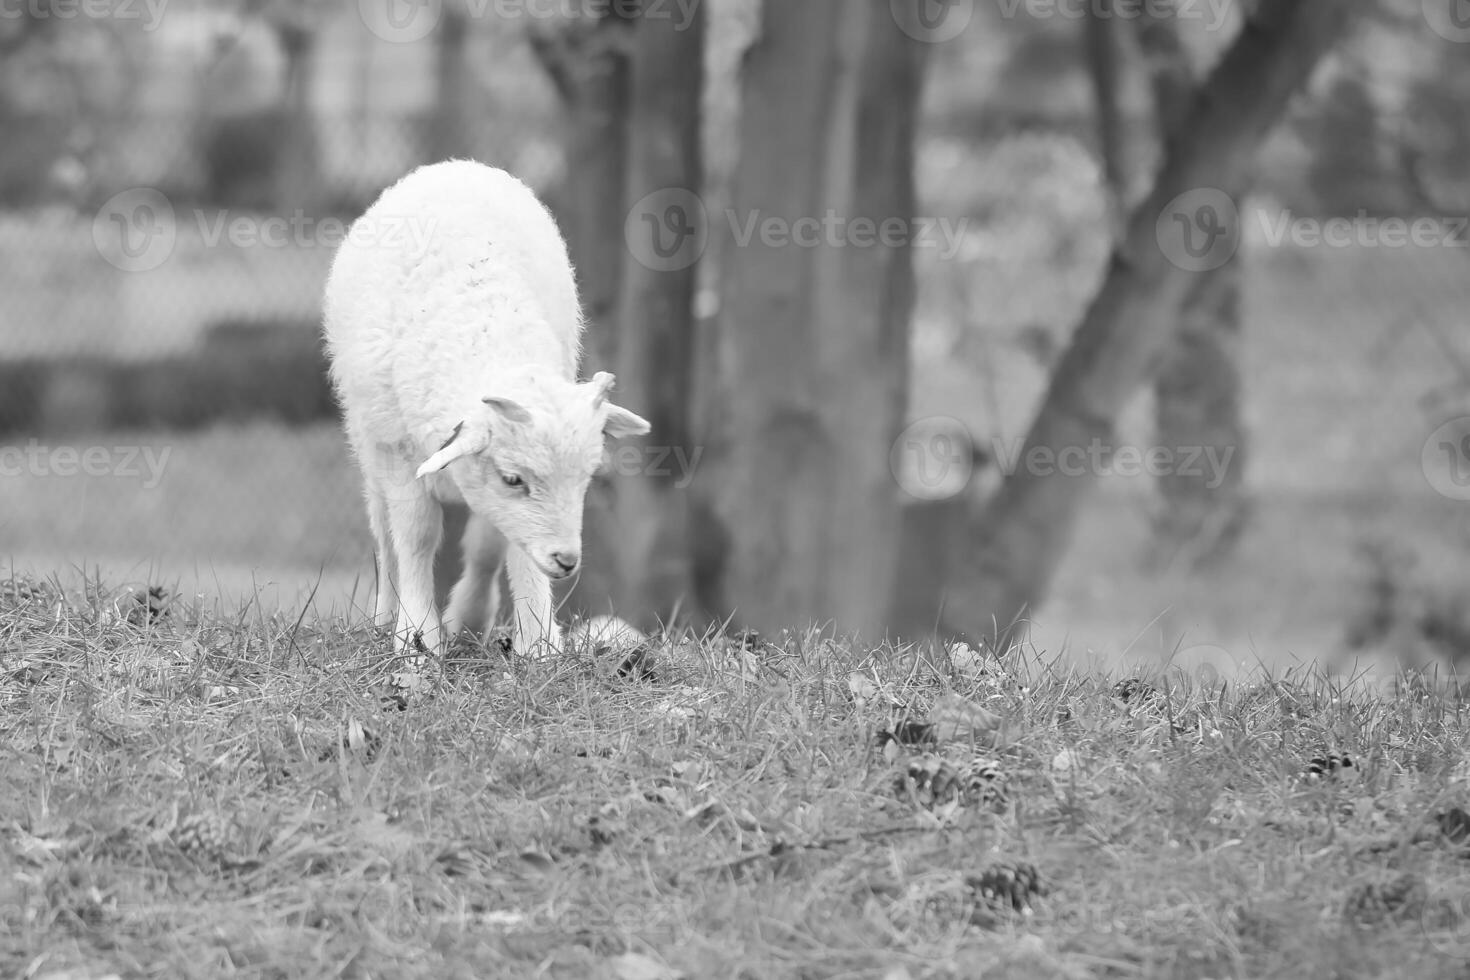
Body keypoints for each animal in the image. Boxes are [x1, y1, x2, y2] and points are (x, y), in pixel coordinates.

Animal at [324, 160, 652, 658]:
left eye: (588, 476)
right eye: (514, 478)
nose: (566, 561)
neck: (483, 333)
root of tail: (451, 166)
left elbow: (493, 545)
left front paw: (524, 635)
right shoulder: (398, 450)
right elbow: (416, 535)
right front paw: (417, 636)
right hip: (366, 440)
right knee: (384, 533)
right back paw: (383, 617)